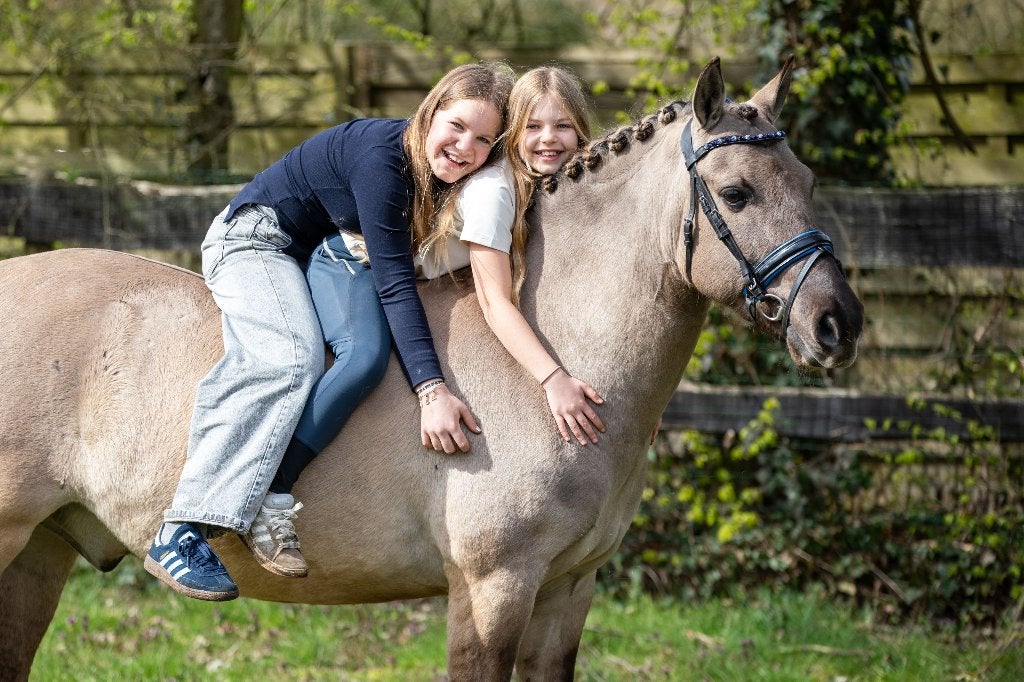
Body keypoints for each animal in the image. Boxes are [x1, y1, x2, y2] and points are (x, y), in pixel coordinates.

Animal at [0, 57, 862, 680]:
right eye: (736, 193)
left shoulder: (567, 592)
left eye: (810, 182)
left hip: (40, 552)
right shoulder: (491, 590)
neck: (542, 360)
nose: (838, 321)